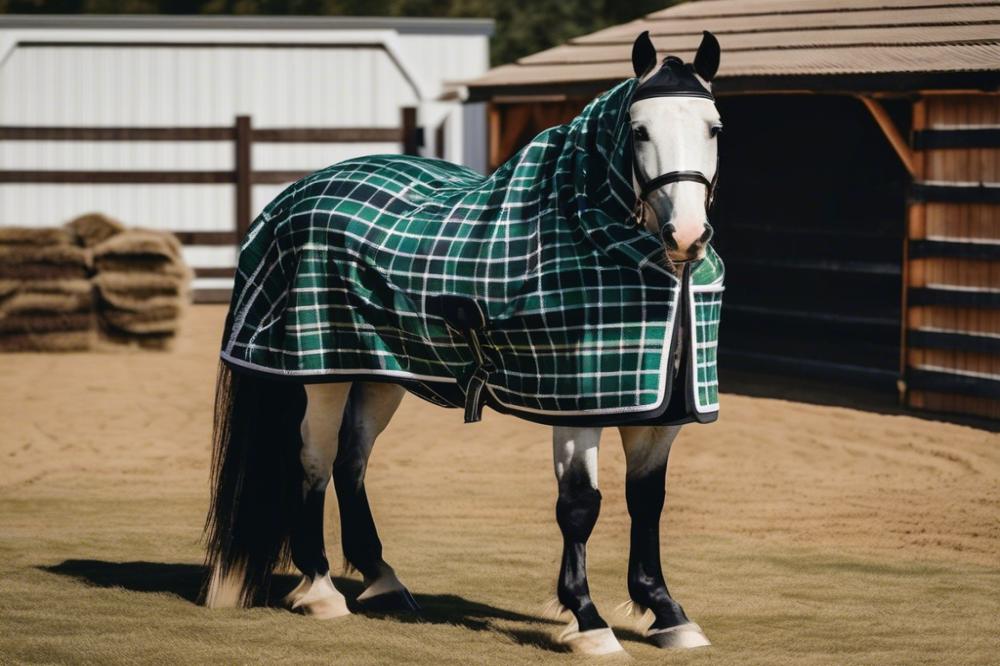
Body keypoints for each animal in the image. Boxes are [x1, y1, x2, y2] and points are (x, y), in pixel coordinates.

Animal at [203, 29, 724, 652]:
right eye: (640, 130)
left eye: (714, 127)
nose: (687, 235)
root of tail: (293, 197)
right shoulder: (577, 407)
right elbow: (580, 506)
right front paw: (588, 622)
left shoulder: (663, 413)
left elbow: (646, 502)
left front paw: (667, 612)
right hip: (322, 374)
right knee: (315, 460)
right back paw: (323, 590)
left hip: (380, 373)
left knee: (352, 462)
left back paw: (384, 580)